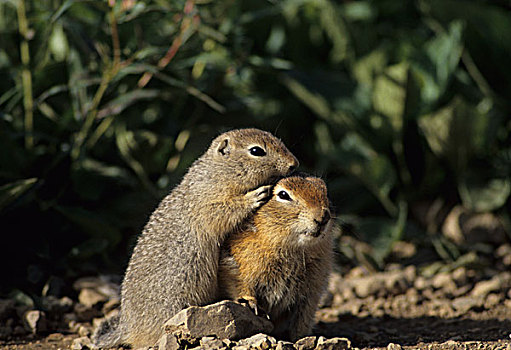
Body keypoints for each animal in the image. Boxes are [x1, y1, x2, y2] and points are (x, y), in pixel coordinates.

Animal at [92, 128, 300, 348]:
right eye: (256, 151)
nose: (294, 163)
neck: (217, 172)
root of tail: (127, 327)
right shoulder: (207, 202)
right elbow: (224, 210)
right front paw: (256, 195)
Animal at [219, 175, 336, 342]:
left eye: (324, 191)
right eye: (283, 195)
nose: (323, 217)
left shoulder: (311, 293)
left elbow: (303, 320)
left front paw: (300, 339)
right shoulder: (234, 265)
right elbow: (240, 286)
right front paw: (251, 304)